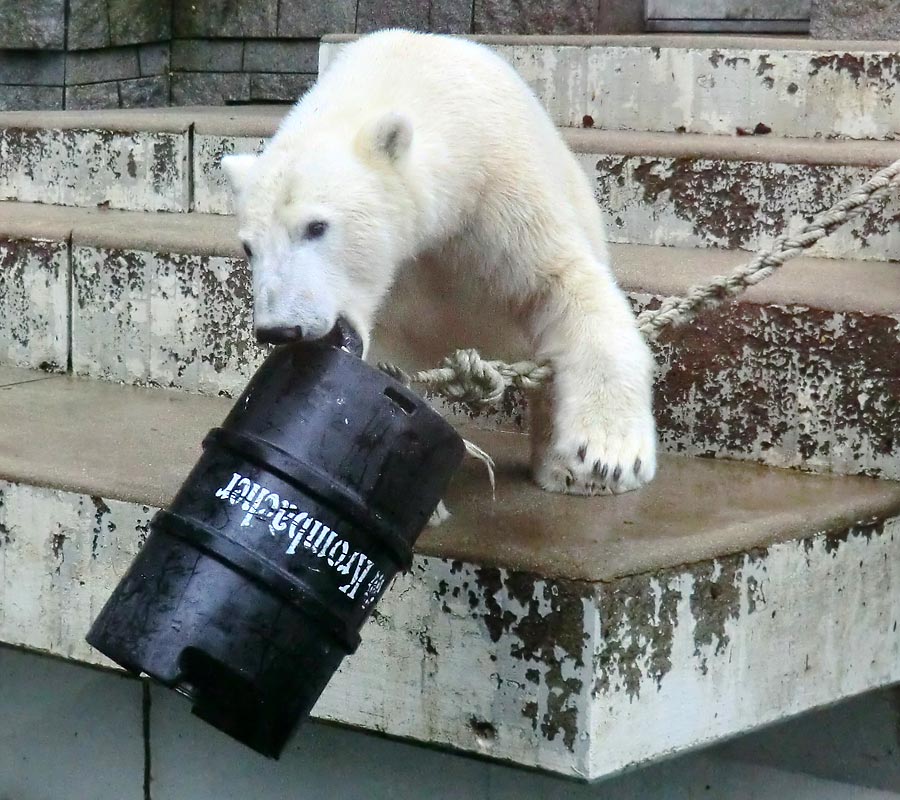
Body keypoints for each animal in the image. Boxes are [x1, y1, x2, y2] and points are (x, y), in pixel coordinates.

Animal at [221, 29, 656, 494]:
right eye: (249, 247)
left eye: (316, 227)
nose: (279, 330)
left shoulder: (502, 192)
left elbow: (564, 284)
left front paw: (609, 455)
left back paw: (564, 470)